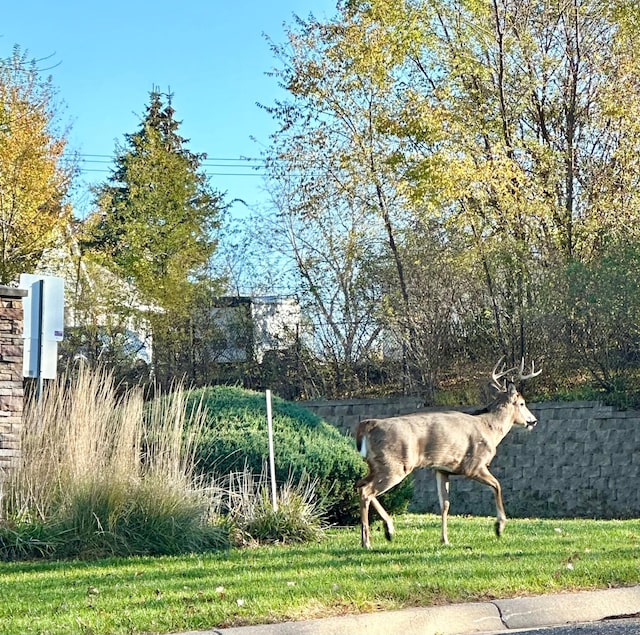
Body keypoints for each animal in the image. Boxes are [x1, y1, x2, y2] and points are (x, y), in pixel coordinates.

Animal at [356, 360, 540, 548]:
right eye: (522, 403)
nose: (533, 420)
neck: (490, 427)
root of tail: (368, 425)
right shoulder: (474, 465)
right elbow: (497, 486)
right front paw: (499, 527)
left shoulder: (442, 469)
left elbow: (445, 504)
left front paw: (445, 540)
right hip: (396, 465)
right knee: (366, 491)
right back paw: (370, 540)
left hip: (377, 466)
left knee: (359, 484)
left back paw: (385, 530)